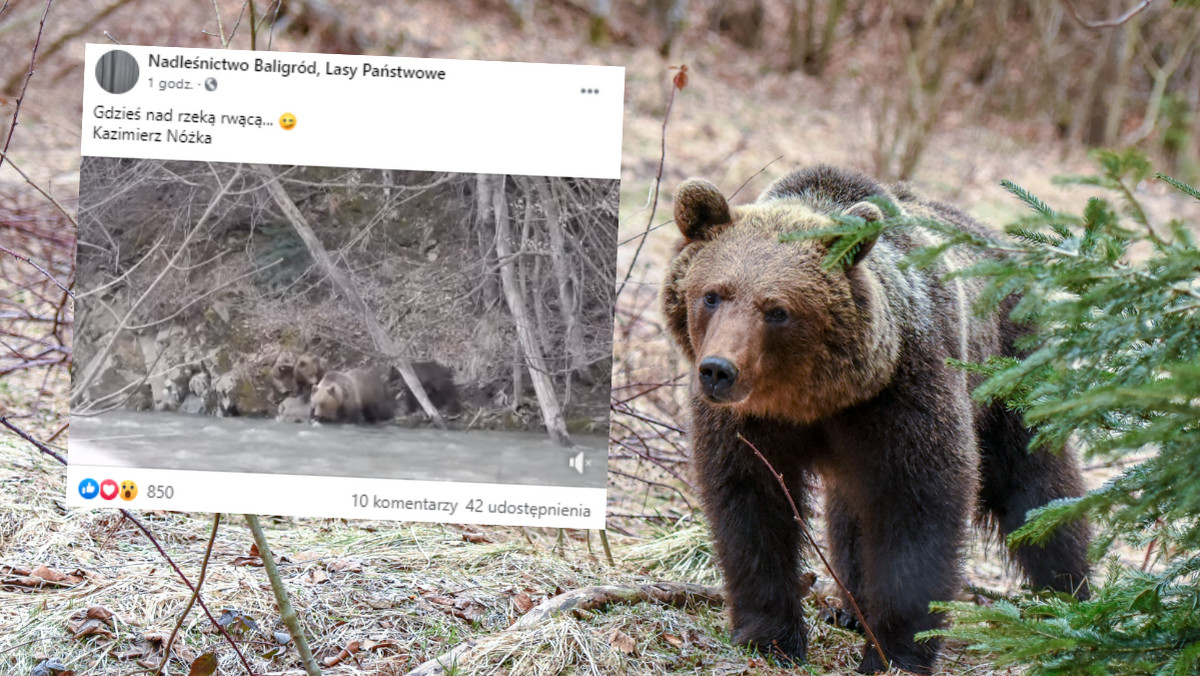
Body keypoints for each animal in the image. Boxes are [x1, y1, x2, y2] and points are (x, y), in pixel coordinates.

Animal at [662, 165, 1094, 676]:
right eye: (712, 295)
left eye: (777, 310)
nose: (718, 370)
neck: (811, 400)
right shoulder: (746, 425)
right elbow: (750, 507)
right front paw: (769, 638)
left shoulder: (903, 397)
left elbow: (917, 507)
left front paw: (895, 653)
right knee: (851, 510)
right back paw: (850, 608)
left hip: (1007, 369)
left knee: (1038, 485)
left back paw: (1067, 598)